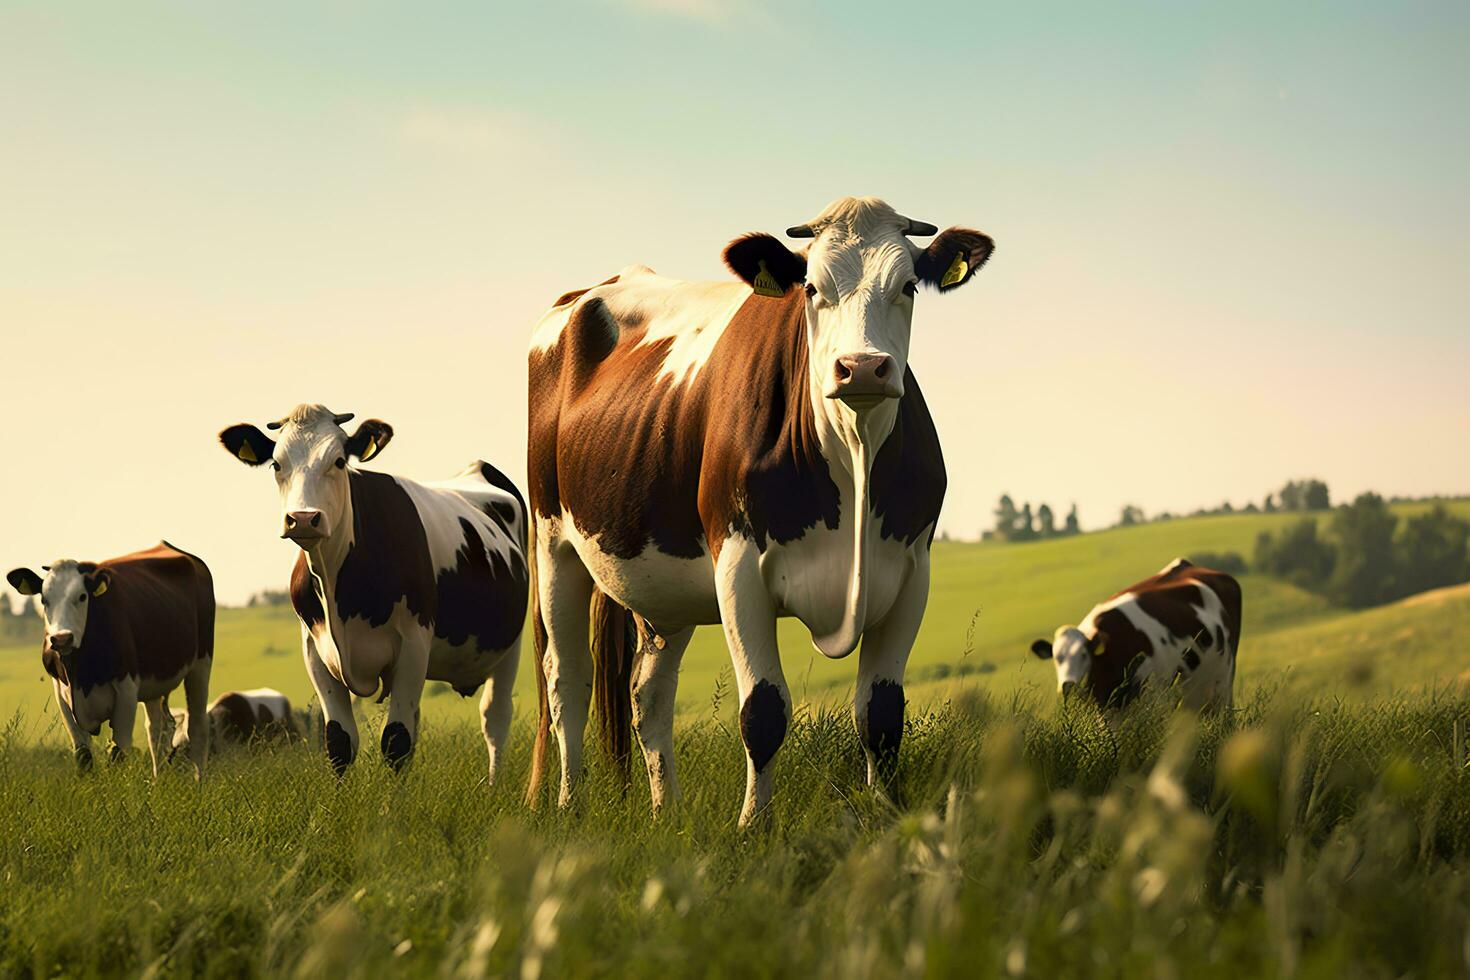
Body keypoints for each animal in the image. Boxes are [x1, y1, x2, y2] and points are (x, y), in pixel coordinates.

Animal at [5, 540, 214, 775]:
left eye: (82, 596)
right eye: (44, 600)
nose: (62, 638)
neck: (80, 675)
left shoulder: (126, 691)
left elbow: (118, 754)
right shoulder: (62, 693)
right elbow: (83, 755)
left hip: (201, 664)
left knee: (197, 726)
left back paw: (199, 781)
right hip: (155, 685)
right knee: (157, 730)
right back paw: (158, 780)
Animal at [220, 402, 532, 775]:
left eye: (340, 461)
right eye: (276, 464)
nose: (304, 518)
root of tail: (477, 468)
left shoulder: (414, 642)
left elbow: (396, 742)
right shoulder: (314, 649)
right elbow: (339, 742)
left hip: (511, 644)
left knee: (495, 718)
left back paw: (493, 782)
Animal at [523, 195, 993, 822]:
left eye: (908, 286)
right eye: (812, 288)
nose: (862, 367)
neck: (853, 453)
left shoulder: (912, 571)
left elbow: (882, 715)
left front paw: (887, 816)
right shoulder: (738, 566)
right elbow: (763, 712)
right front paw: (754, 824)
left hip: (659, 586)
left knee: (647, 694)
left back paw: (667, 813)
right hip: (554, 544)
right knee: (567, 682)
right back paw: (568, 805)